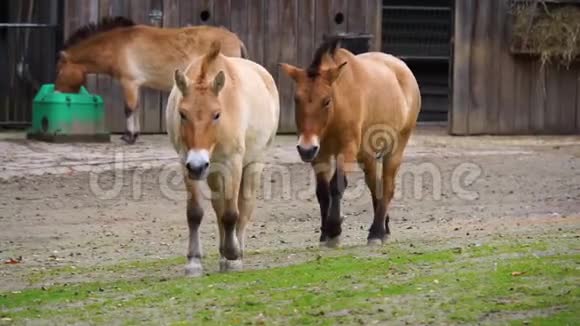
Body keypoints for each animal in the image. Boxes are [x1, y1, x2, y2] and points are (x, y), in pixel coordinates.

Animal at [55, 16, 250, 144]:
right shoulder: (136, 86)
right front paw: (134, 134)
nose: (57, 92)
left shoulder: (129, 83)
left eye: (59, 71)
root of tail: (236, 39)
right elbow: (136, 108)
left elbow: (128, 108)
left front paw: (129, 137)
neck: (117, 45)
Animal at [164, 40, 280, 276]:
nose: (198, 165)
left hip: (252, 165)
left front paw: (233, 254)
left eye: (217, 114)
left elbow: (231, 213)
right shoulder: (186, 161)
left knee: (243, 208)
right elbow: (195, 213)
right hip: (213, 172)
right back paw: (222, 255)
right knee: (219, 208)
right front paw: (193, 262)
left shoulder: (232, 163)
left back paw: (235, 254)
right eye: (182, 114)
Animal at [280, 37, 422, 247]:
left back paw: (377, 232)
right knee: (376, 186)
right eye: (297, 99)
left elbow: (336, 185)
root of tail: (402, 68)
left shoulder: (346, 150)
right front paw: (325, 234)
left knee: (387, 187)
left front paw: (334, 231)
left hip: (395, 149)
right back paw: (384, 227)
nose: (305, 149)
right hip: (367, 156)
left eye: (326, 101)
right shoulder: (320, 154)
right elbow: (322, 192)